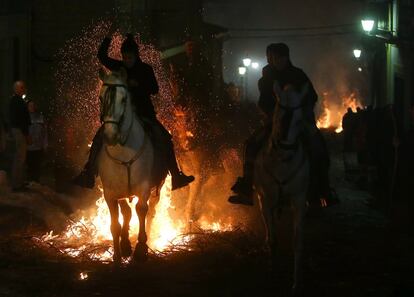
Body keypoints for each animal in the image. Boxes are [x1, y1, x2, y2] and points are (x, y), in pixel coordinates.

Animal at [97, 70, 167, 264]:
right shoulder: (111, 194)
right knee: (127, 212)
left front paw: (141, 249)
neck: (124, 153)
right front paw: (118, 254)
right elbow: (116, 223)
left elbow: (141, 211)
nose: (110, 136)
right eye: (100, 98)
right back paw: (126, 243)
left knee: (150, 211)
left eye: (123, 99)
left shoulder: (144, 188)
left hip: (157, 188)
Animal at [254, 81, 308, 294]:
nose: (285, 153)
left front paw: (297, 282)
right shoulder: (267, 199)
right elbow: (273, 240)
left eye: (300, 120)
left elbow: (298, 241)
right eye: (278, 117)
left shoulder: (299, 200)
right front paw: (272, 272)